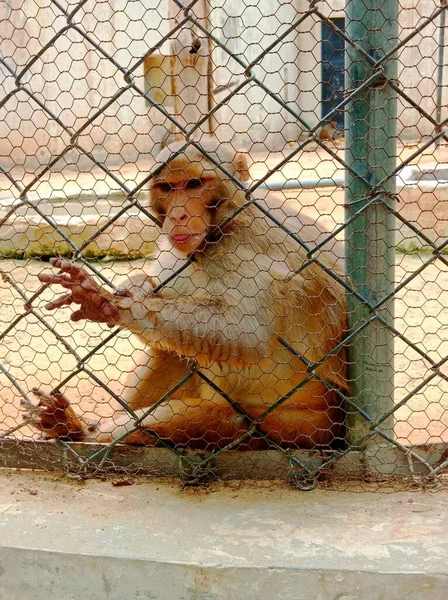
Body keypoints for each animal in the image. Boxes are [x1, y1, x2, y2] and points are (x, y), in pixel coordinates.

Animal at [22, 137, 348, 450]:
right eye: (167, 187)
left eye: (194, 184)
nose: (178, 215)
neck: (218, 232)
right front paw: (123, 292)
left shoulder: (245, 249)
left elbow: (247, 332)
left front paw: (114, 304)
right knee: (171, 351)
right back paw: (70, 426)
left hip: (293, 428)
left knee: (226, 418)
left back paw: (86, 431)